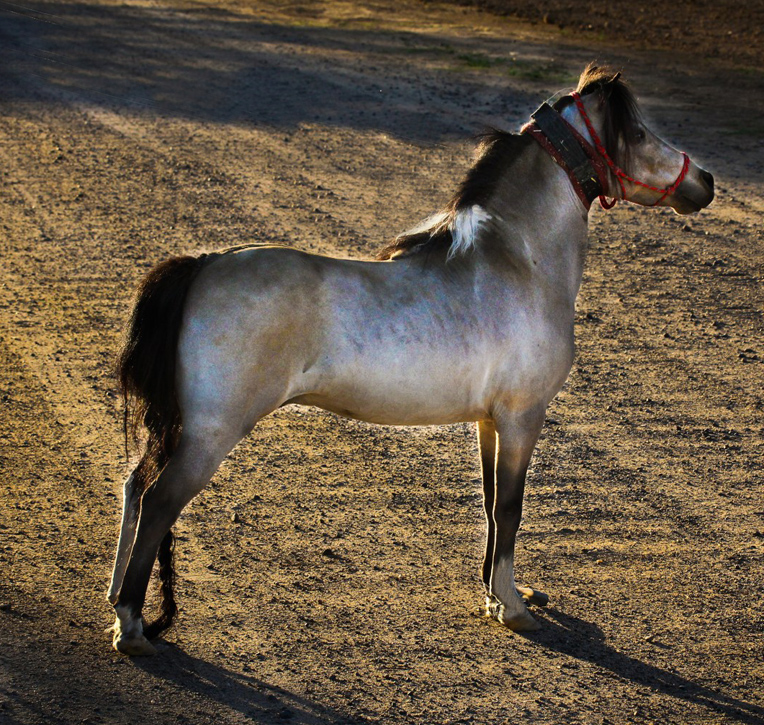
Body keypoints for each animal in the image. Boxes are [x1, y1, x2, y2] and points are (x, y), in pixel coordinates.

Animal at [107, 64, 714, 655]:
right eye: (639, 133)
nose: (704, 182)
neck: (520, 262)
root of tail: (205, 263)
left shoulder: (489, 422)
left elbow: (491, 506)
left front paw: (494, 594)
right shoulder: (522, 417)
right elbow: (511, 509)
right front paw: (511, 607)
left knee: (134, 487)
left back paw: (115, 602)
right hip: (211, 433)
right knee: (158, 502)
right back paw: (132, 626)